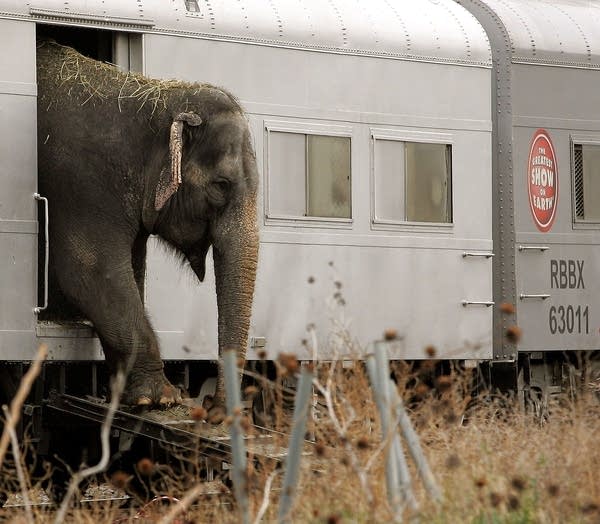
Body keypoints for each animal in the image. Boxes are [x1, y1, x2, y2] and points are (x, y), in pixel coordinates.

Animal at [36, 42, 258, 410]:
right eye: (221, 185)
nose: (210, 406)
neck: (156, 96)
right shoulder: (82, 184)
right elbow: (91, 271)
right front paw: (161, 399)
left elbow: (131, 269)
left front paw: (130, 395)